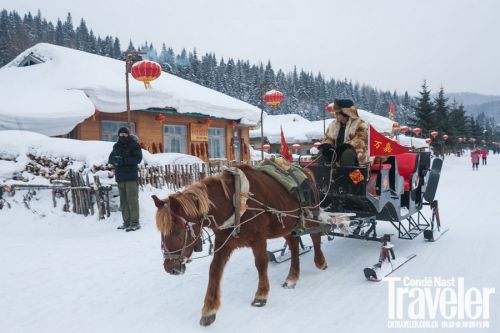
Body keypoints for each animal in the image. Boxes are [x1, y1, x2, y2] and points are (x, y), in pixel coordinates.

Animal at [152, 163, 328, 324]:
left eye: (177, 231)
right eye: (162, 232)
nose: (170, 268)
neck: (235, 201)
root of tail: (306, 170)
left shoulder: (259, 239)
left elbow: (261, 263)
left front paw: (261, 294)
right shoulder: (224, 242)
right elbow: (214, 270)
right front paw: (209, 309)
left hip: (309, 215)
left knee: (316, 236)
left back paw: (320, 261)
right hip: (286, 224)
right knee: (293, 244)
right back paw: (292, 278)